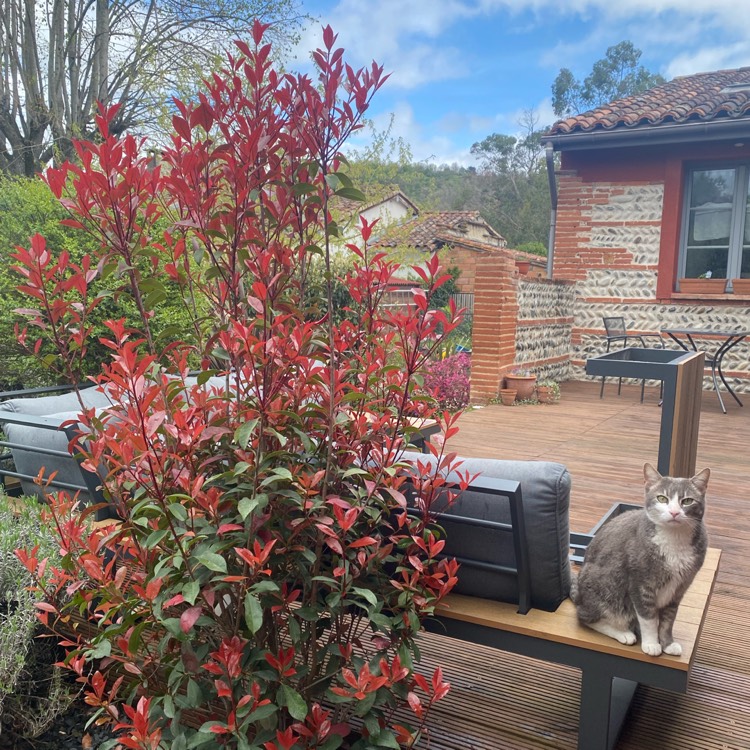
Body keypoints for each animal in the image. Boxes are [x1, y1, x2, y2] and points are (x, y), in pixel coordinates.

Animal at [576, 464, 712, 656]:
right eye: (662, 498)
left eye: (687, 501)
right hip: (605, 588)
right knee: (587, 617)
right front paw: (651, 643)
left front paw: (668, 643)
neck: (674, 540)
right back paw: (623, 633)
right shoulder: (640, 583)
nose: (674, 512)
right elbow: (648, 619)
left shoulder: (679, 588)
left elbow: (668, 621)